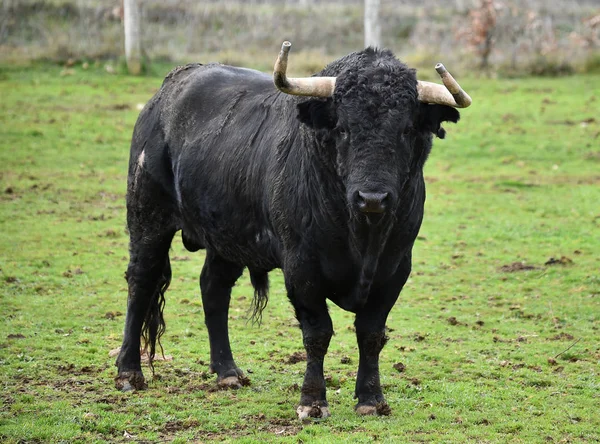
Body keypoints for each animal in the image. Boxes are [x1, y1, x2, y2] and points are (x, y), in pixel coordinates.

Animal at [116, 46, 464, 418]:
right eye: (343, 128)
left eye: (406, 129)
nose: (372, 198)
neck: (362, 236)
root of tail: (167, 91)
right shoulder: (301, 269)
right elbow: (317, 333)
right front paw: (312, 401)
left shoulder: (395, 269)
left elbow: (370, 333)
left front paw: (371, 399)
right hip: (147, 218)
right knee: (141, 282)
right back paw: (128, 373)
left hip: (227, 236)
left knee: (213, 289)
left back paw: (227, 371)